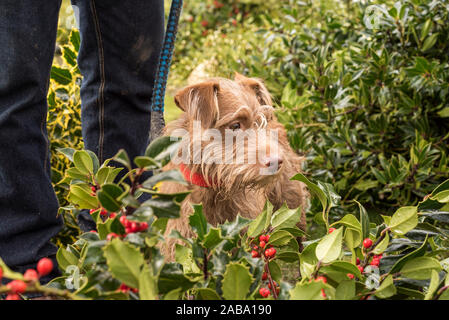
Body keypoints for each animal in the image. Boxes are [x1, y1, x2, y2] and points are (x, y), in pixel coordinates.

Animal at [159, 74, 310, 258]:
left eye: (262, 123)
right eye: (235, 125)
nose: (277, 161)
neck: (214, 189)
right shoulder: (178, 238)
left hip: (292, 203)